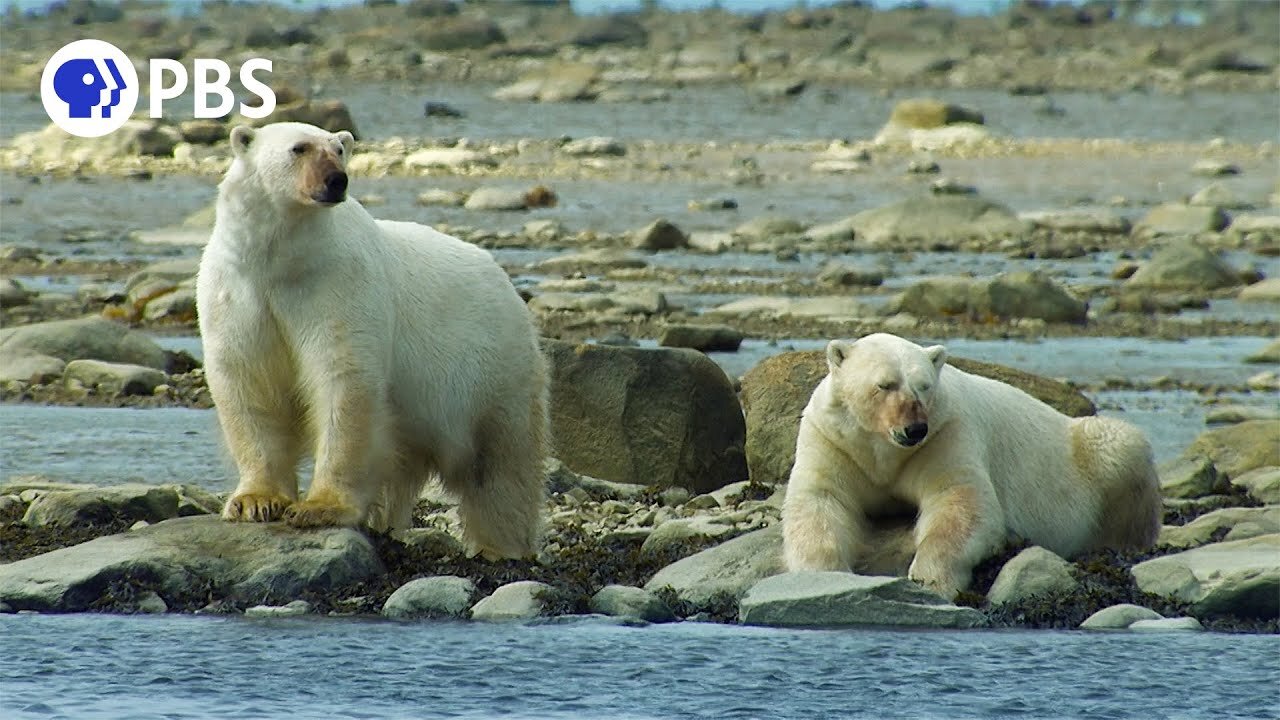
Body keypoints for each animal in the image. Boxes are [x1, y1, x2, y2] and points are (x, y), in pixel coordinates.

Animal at [197, 121, 547, 561]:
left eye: (339, 150)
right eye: (299, 148)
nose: (336, 181)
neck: (281, 261)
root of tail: (506, 284)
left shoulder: (337, 285)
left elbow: (344, 379)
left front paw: (319, 508)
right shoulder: (237, 292)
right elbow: (247, 383)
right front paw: (255, 502)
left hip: (492, 369)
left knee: (500, 463)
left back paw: (501, 546)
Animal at [783, 330, 1167, 594]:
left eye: (924, 385)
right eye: (885, 384)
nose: (914, 428)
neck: (884, 450)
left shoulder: (946, 434)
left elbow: (960, 501)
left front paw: (930, 579)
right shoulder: (835, 440)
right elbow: (819, 500)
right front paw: (822, 575)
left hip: (1090, 452)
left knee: (1120, 447)